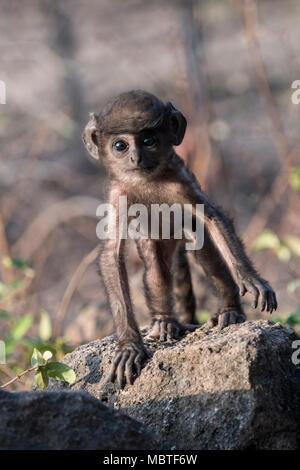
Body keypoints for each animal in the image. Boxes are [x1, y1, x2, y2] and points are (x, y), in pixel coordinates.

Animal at [82, 90, 276, 388]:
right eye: (120, 145)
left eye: (148, 141)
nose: (135, 158)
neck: (148, 180)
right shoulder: (118, 195)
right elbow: (111, 255)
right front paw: (129, 346)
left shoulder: (180, 181)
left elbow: (213, 218)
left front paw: (251, 278)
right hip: (155, 241)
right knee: (157, 269)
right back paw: (164, 321)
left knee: (204, 251)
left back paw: (230, 310)